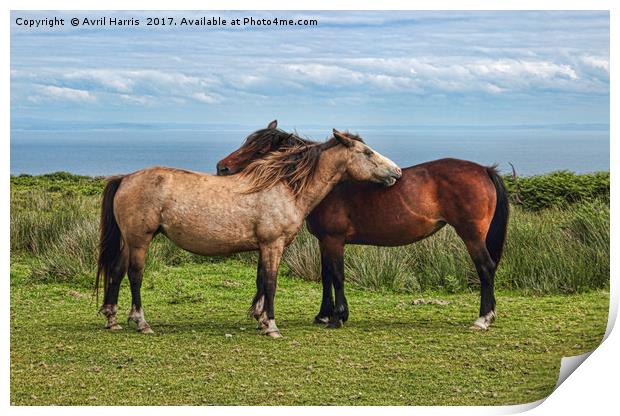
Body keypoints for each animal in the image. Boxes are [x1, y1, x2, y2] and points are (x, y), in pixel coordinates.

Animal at [94, 129, 400, 338]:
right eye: (367, 152)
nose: (396, 171)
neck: (284, 187)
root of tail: (125, 178)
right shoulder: (273, 245)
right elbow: (272, 283)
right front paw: (272, 326)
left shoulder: (264, 246)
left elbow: (262, 281)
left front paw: (262, 320)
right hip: (140, 240)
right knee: (134, 275)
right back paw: (141, 322)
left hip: (128, 241)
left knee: (117, 271)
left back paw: (112, 319)